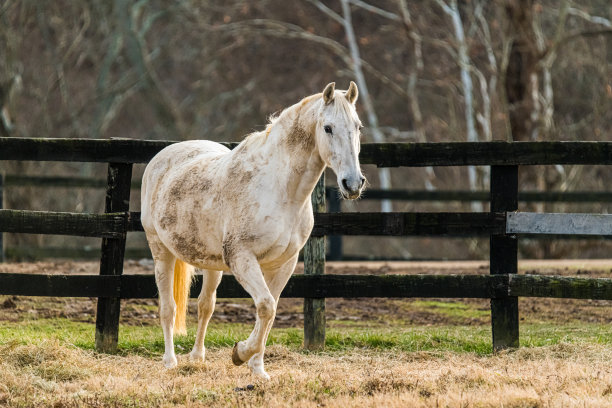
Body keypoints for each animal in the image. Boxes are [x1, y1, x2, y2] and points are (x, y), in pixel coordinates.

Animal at [141, 82, 366, 380]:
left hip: (212, 264)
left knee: (205, 306)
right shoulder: (243, 259)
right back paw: (170, 361)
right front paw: (240, 354)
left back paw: (197, 357)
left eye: (358, 126)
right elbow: (266, 306)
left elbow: (269, 310)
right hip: (161, 251)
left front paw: (258, 369)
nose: (353, 183)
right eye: (328, 128)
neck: (279, 189)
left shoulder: (283, 263)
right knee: (168, 308)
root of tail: (162, 157)